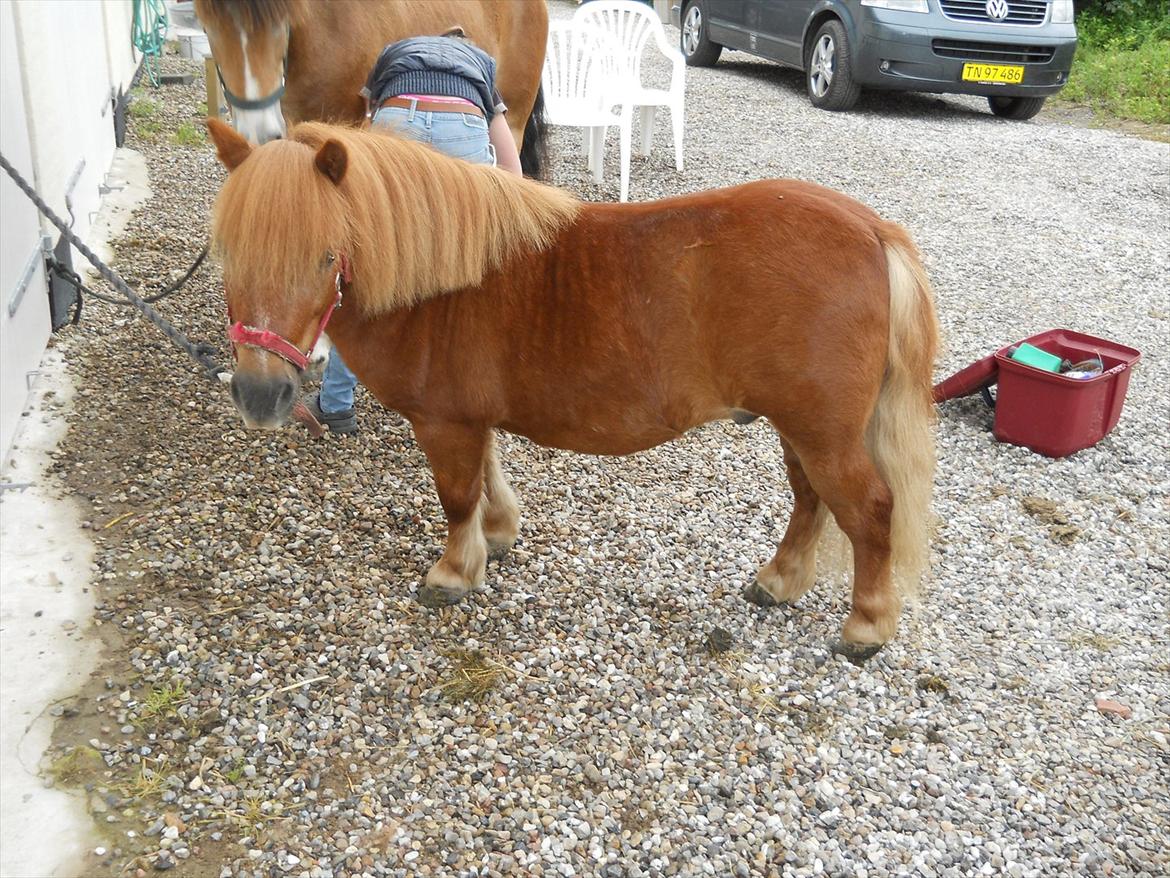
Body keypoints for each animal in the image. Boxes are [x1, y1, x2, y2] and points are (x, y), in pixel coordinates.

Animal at [208, 120, 940, 664]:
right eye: (229, 254)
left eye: (327, 256)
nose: (258, 394)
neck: (442, 284)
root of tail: (873, 232)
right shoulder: (470, 417)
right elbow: (487, 480)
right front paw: (496, 537)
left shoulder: (444, 422)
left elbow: (456, 496)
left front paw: (453, 573)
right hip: (800, 427)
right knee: (811, 500)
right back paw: (778, 582)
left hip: (823, 432)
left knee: (869, 509)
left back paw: (866, 627)